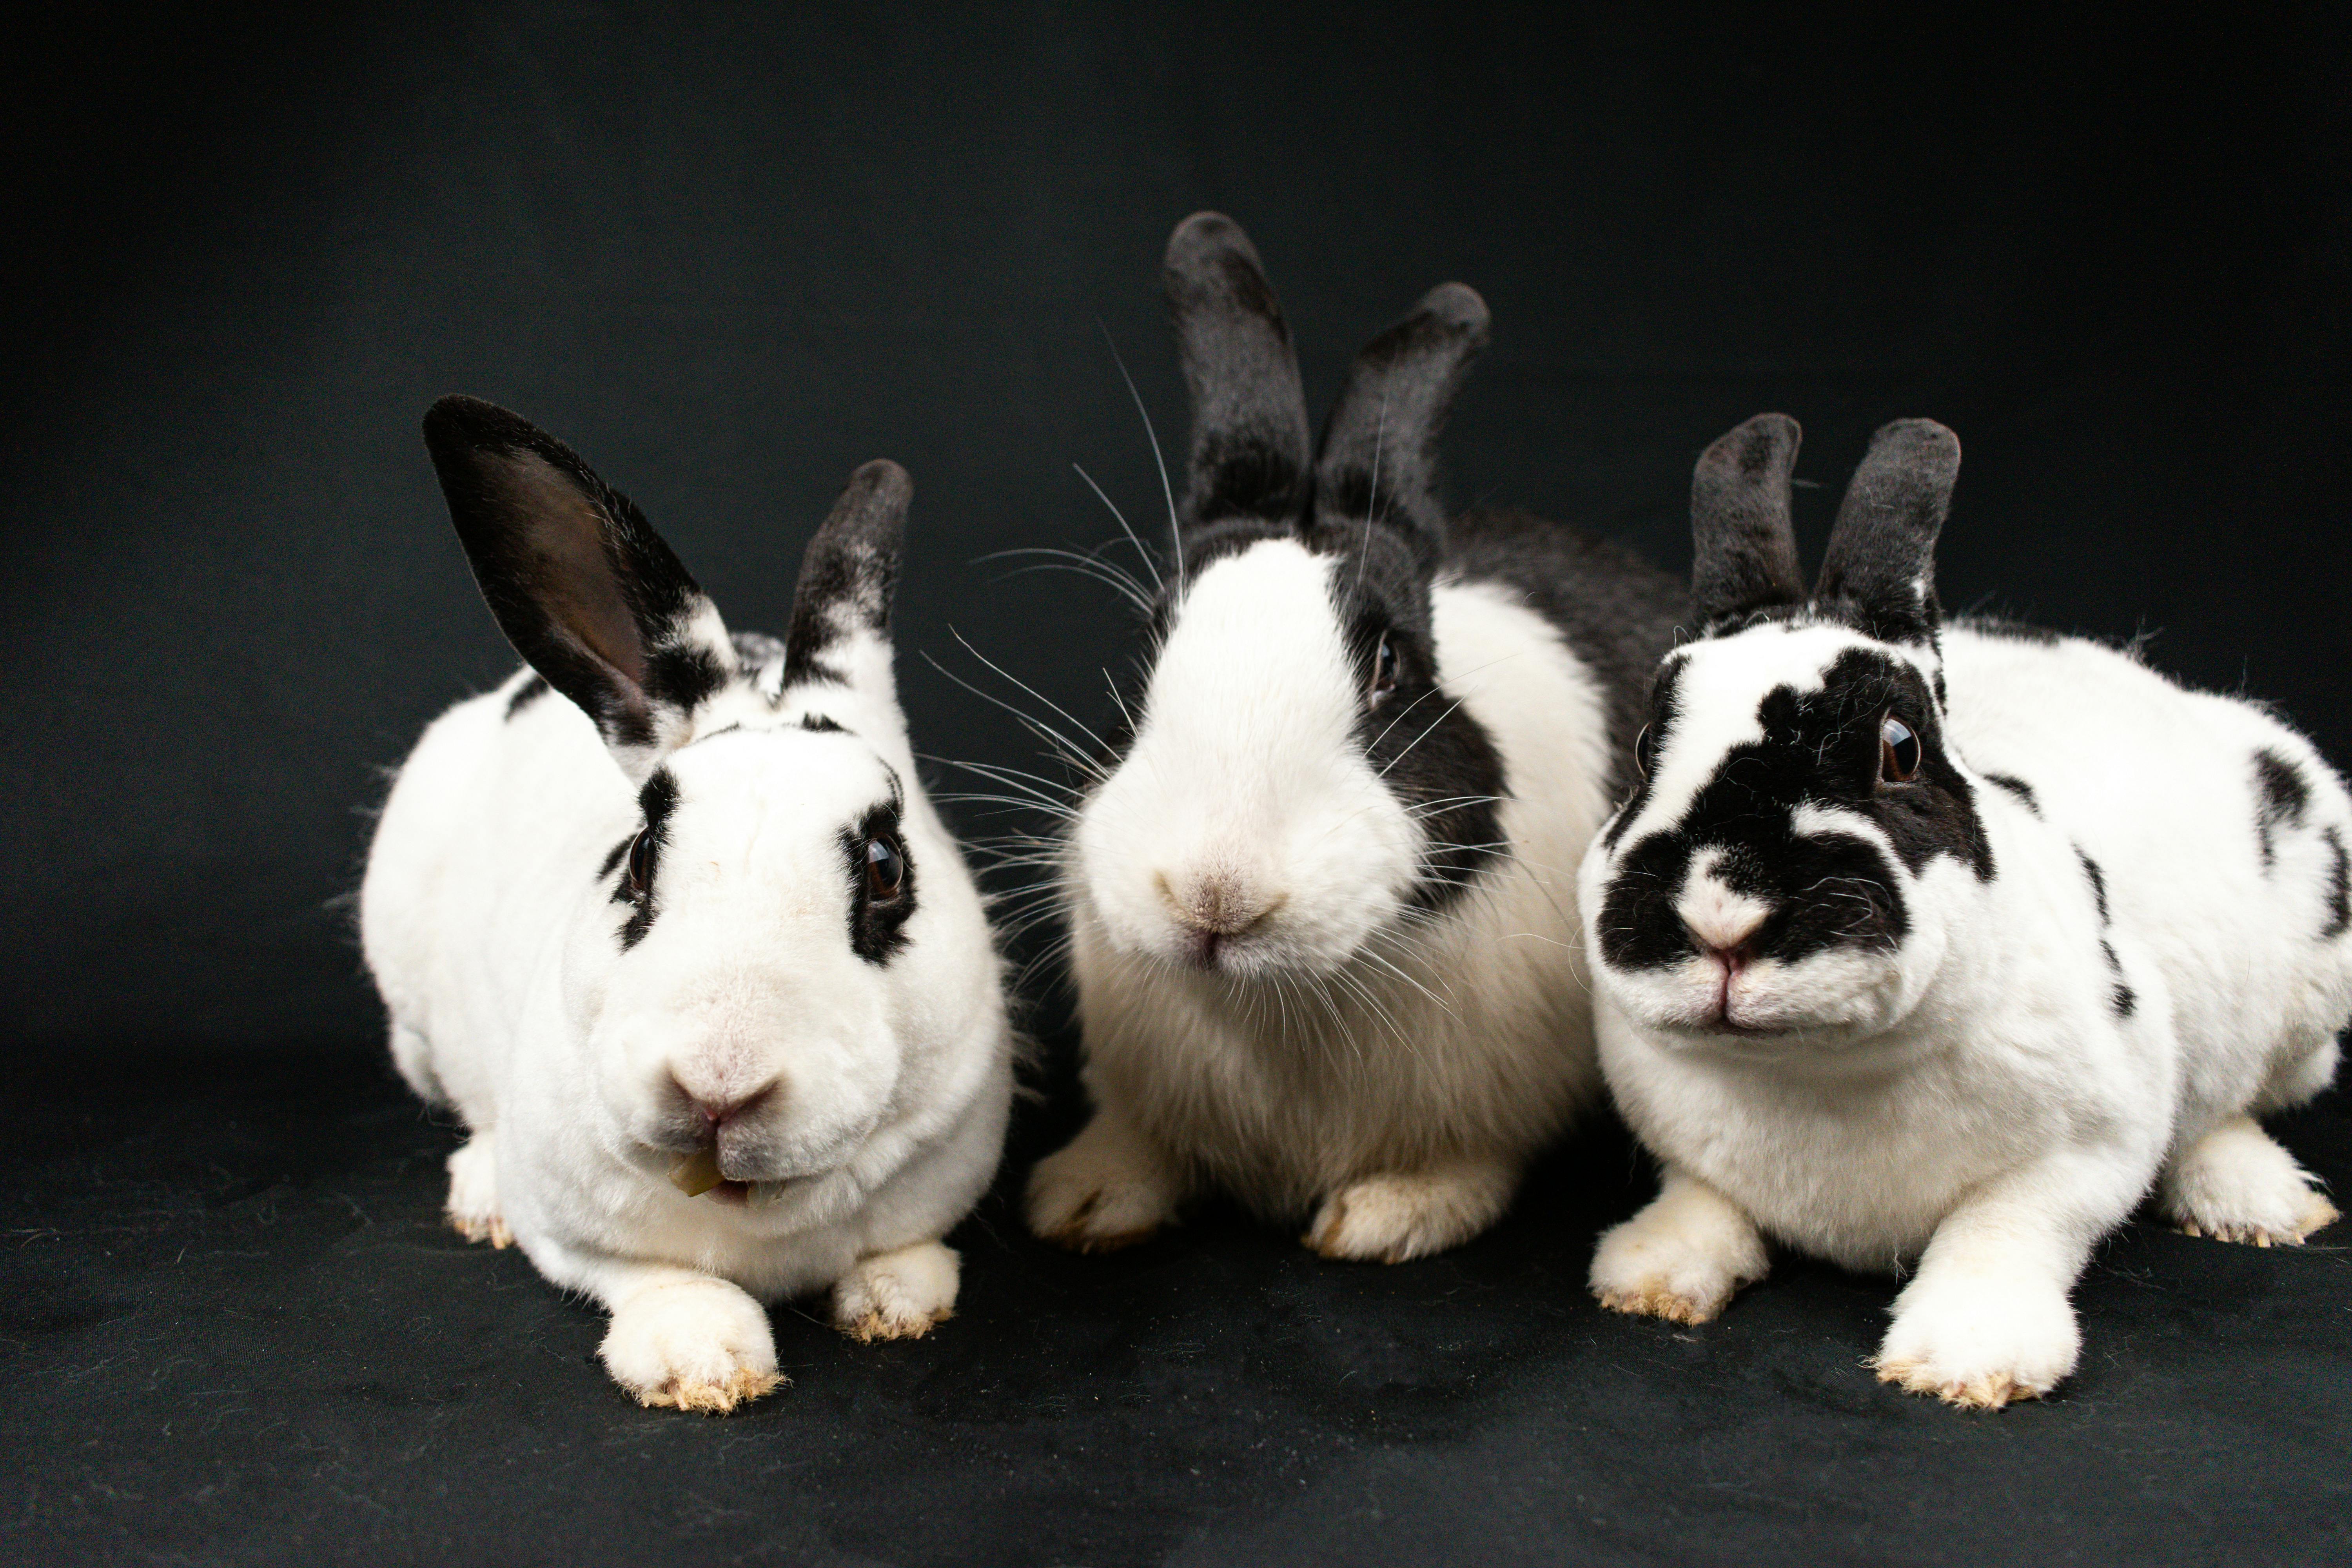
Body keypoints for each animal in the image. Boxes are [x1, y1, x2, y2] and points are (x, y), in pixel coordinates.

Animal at [360, 396, 1013, 1412]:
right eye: (637, 858)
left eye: (885, 867)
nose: (718, 1085)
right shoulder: (574, 1229)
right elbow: (652, 1276)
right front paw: (700, 1361)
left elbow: (907, 1249)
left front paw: (896, 1303)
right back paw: (479, 1194)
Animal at [1025, 213, 1688, 1263]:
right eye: (1148, 642)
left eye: (1390, 666)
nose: (1215, 892)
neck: (1274, 1002)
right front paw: (1082, 1198)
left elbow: (1463, 1164)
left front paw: (1385, 1216)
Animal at [1579, 412, 2350, 1408]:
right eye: (1646, 749)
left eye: (1901, 749)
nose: (1722, 916)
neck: (1818, 1070)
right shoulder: (1683, 1145)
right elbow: (1702, 1200)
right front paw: (1648, 1275)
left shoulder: (2086, 1150)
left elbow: (2002, 1231)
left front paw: (1969, 1361)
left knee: (2234, 1104)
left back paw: (2262, 1204)